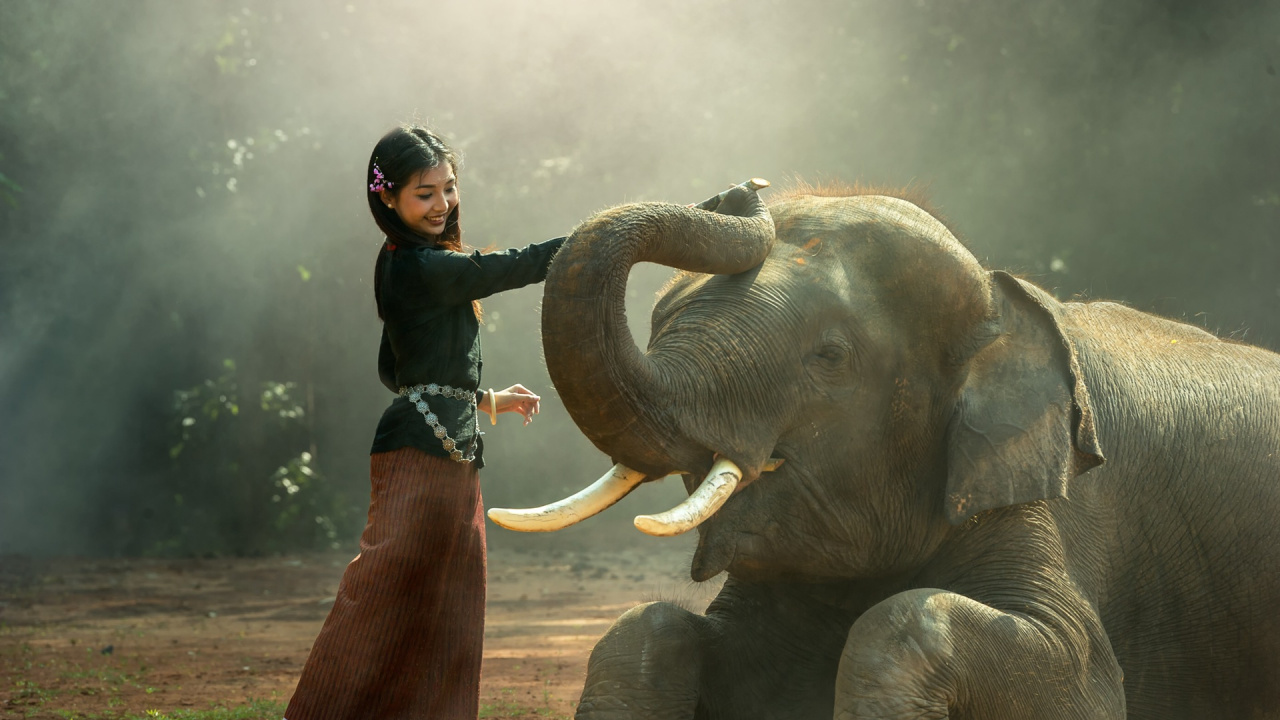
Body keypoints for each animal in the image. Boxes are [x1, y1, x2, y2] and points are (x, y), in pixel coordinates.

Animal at [489, 181, 1280, 719]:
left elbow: (1081, 678)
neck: (1000, 297)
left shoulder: (1034, 494)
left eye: (829, 357)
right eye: (660, 324)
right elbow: (650, 631)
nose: (743, 190)